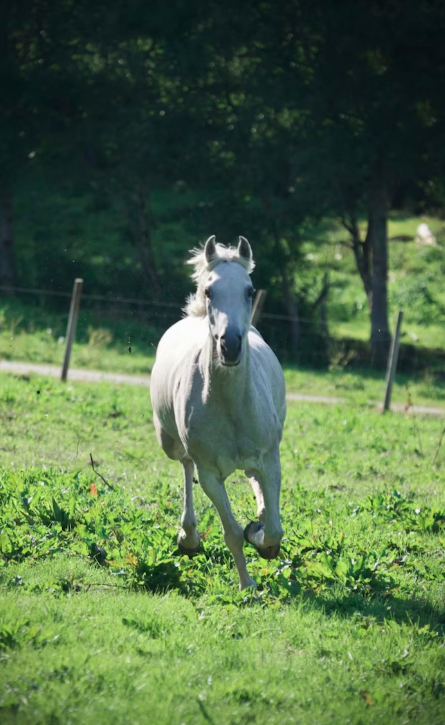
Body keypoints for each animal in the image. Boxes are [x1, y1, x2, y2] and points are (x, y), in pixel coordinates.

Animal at [150, 235, 286, 590]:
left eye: (250, 291)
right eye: (210, 291)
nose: (231, 345)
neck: (231, 406)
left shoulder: (271, 458)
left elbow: (274, 528)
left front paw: (261, 535)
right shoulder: (210, 474)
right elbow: (233, 533)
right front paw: (248, 586)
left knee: (253, 477)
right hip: (170, 445)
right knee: (185, 465)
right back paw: (189, 537)